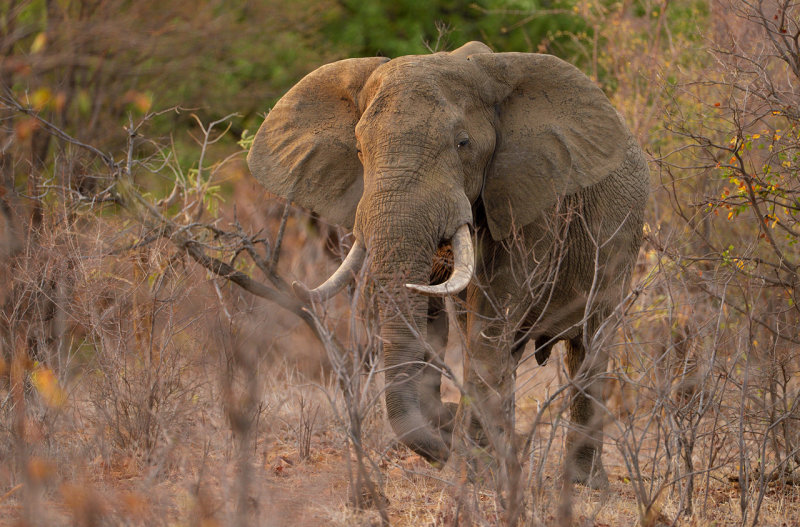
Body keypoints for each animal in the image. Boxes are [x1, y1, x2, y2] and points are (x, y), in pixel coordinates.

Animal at [248, 41, 648, 490]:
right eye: (359, 150)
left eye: (463, 144)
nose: (441, 447)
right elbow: (441, 323)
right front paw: (470, 459)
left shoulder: (536, 200)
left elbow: (492, 316)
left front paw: (470, 473)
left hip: (620, 240)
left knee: (590, 348)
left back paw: (584, 484)